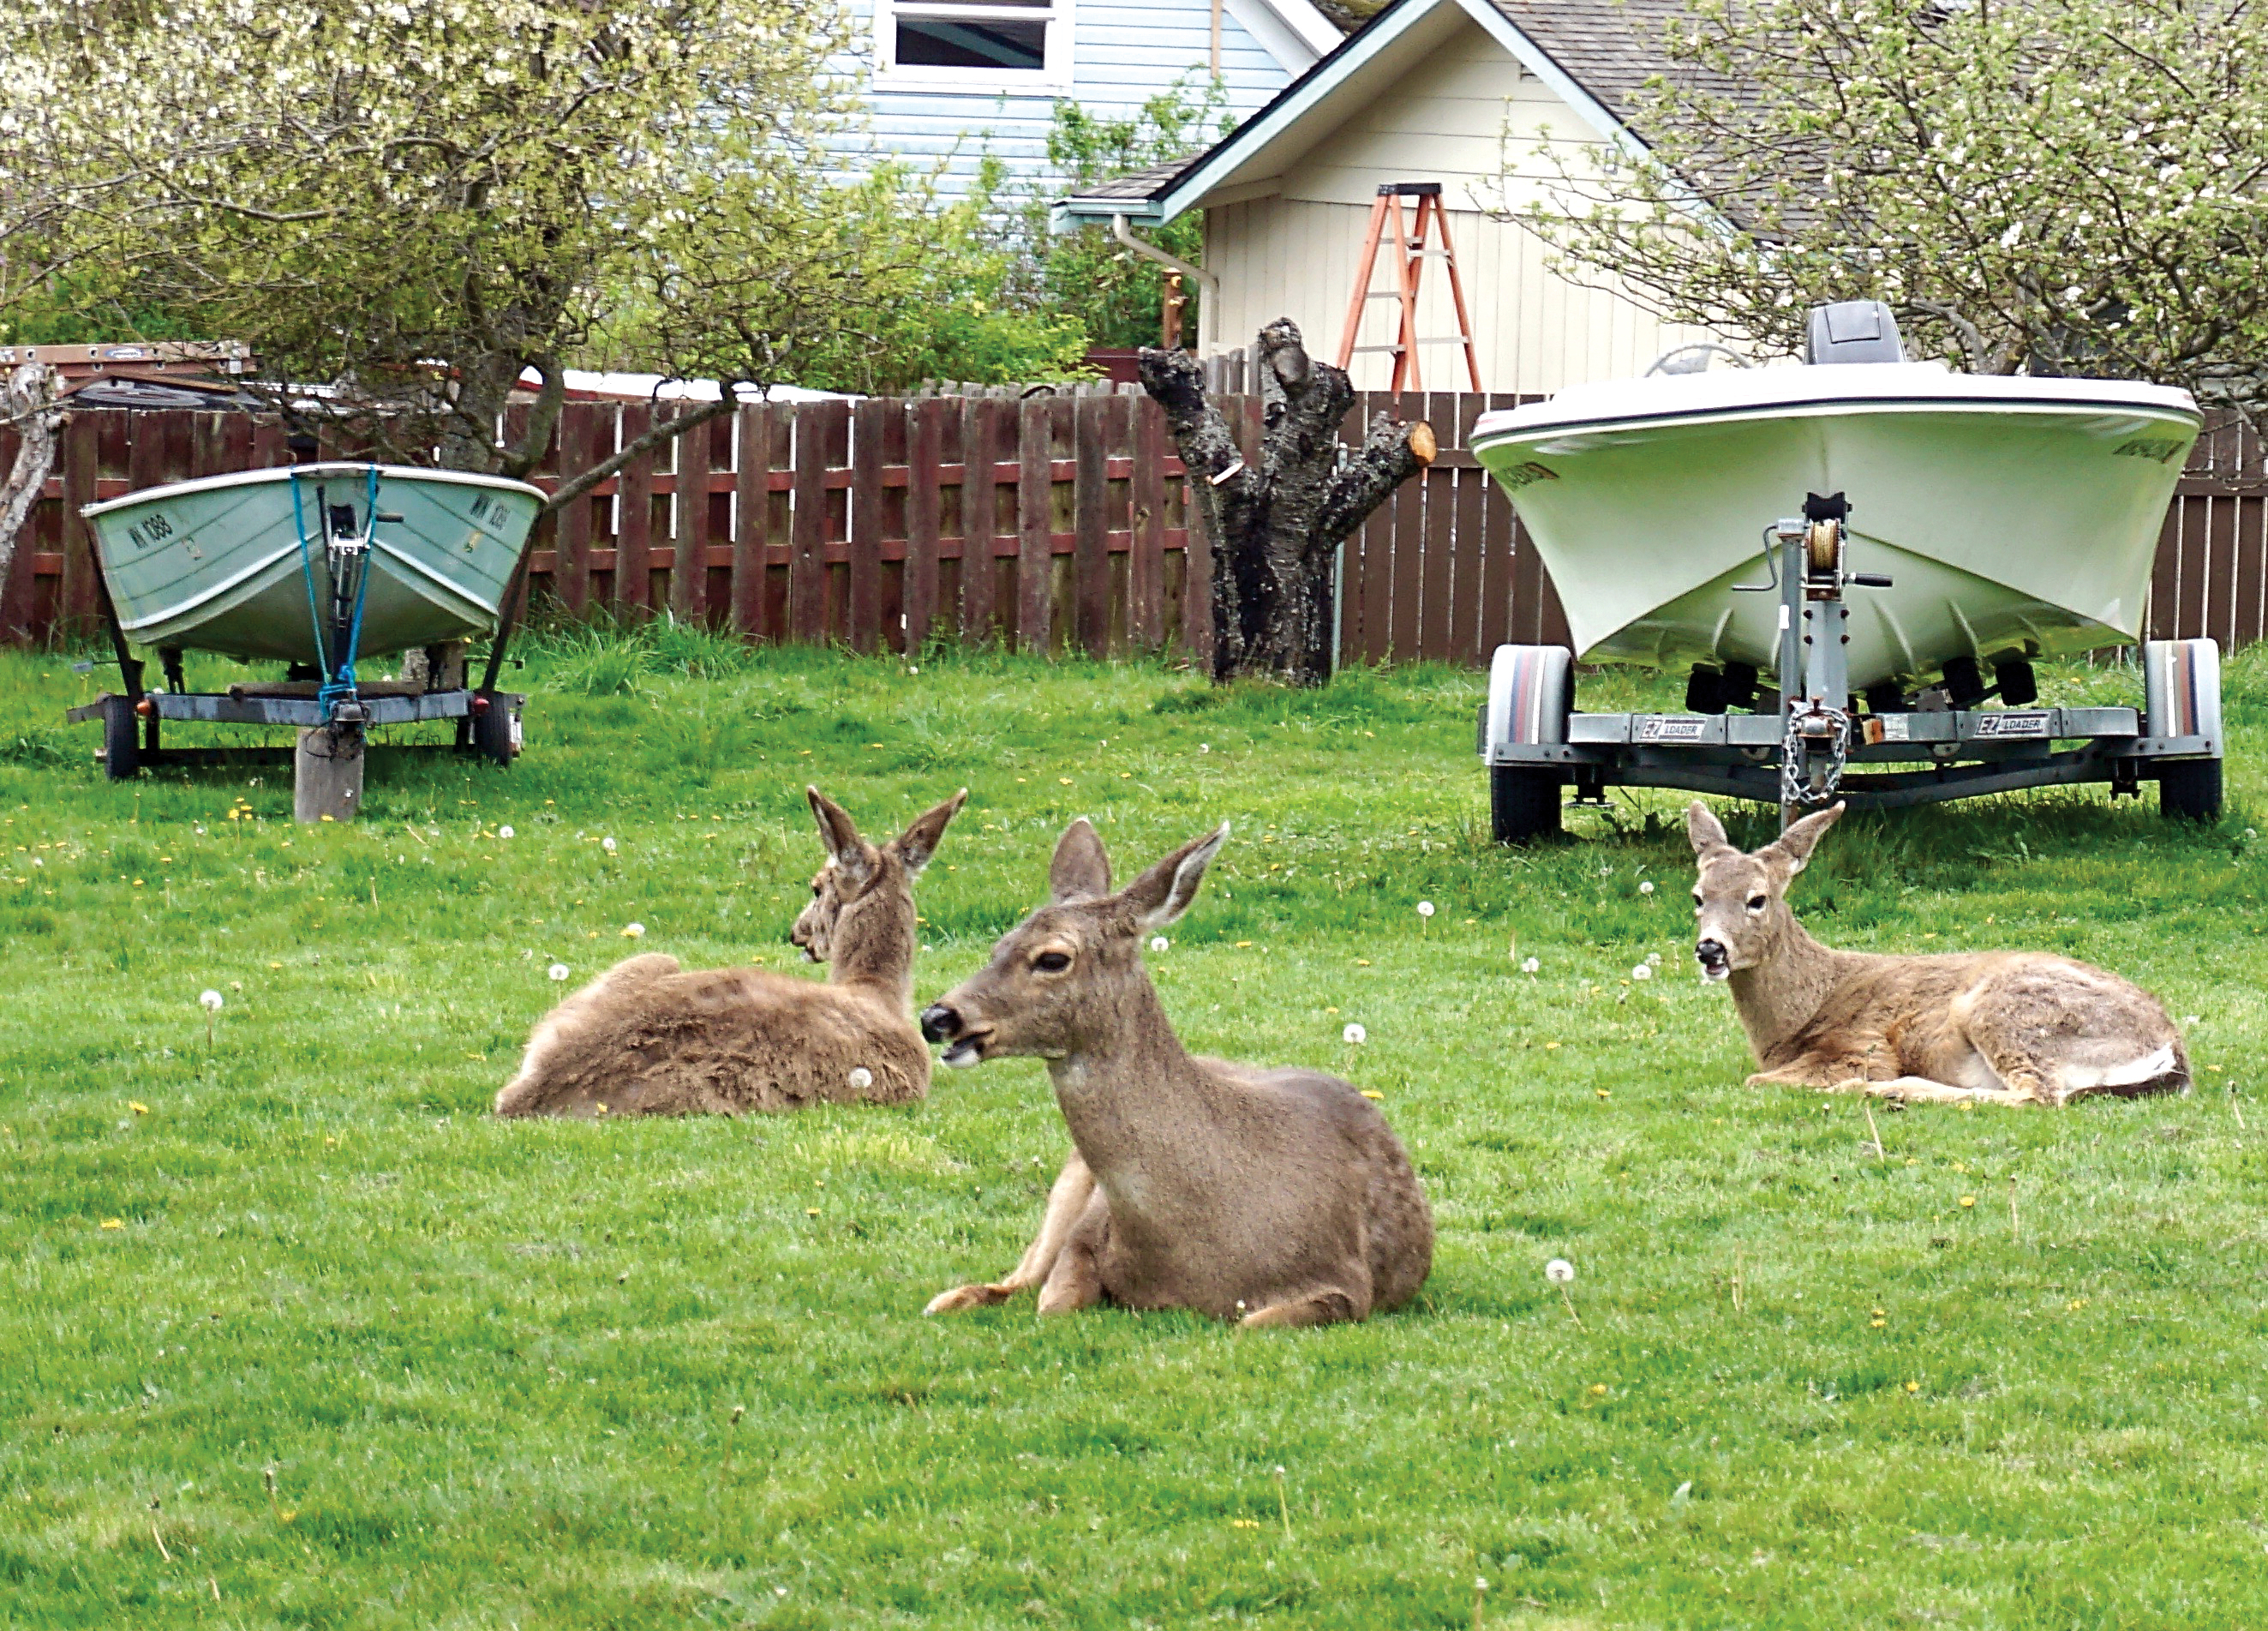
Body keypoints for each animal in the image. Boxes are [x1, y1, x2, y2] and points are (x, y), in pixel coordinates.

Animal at [912, 816, 1424, 1324]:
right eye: (998, 945)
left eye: (1053, 958)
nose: (936, 1017)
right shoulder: (1087, 1230)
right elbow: (1052, 1303)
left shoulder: (1347, 1280)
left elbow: (1251, 1324)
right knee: (1015, 1279)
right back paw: (946, 1300)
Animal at [1696, 798, 2186, 1111]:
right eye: (1698, 896)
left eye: (1758, 899)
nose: (1710, 949)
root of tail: (2172, 1048)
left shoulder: (1862, 1048)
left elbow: (1756, 1081)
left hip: (2006, 1012)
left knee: (2039, 1095)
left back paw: (1887, 1092)